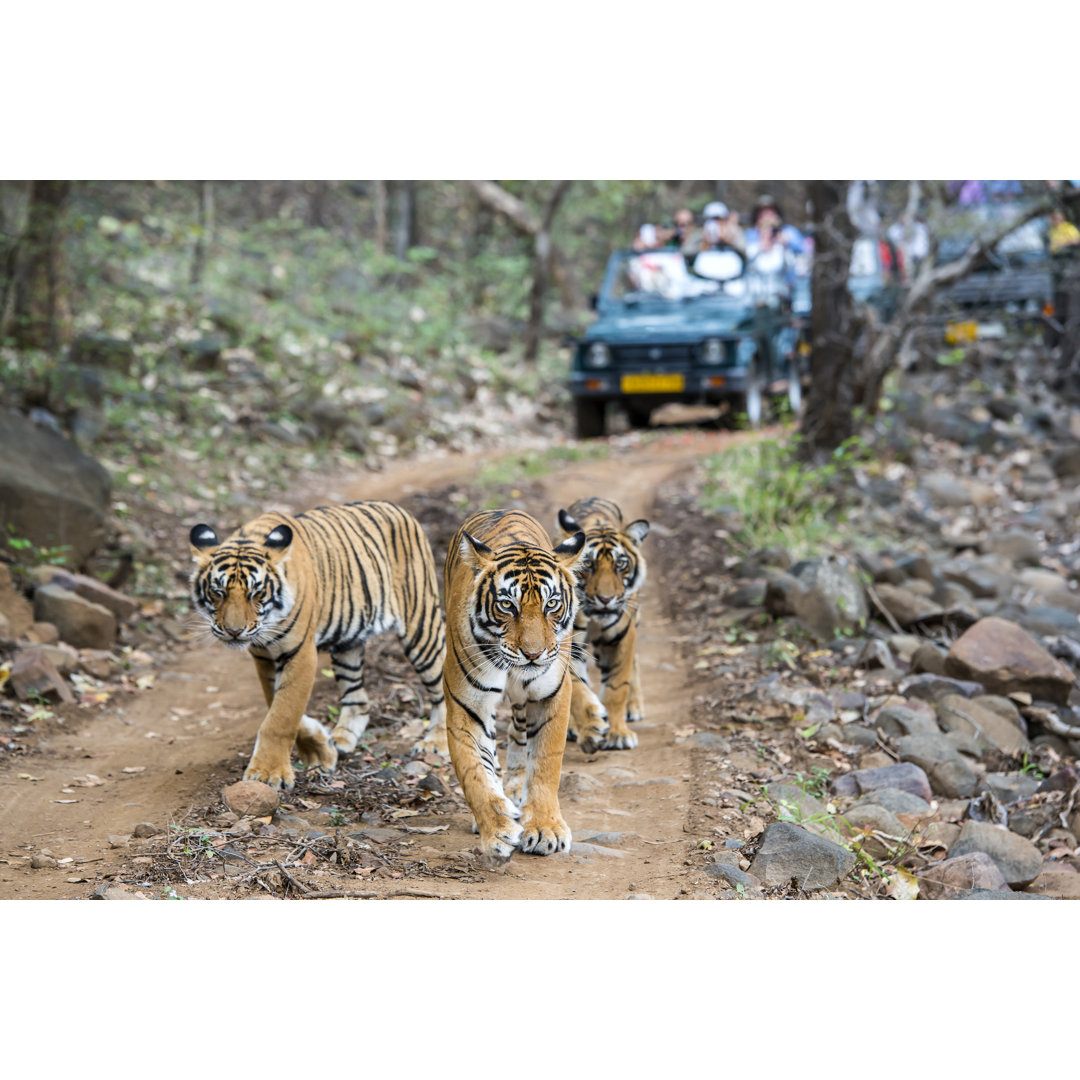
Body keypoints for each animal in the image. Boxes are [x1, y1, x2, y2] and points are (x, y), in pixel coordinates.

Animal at [190, 501, 447, 790]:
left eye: (256, 593)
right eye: (218, 592)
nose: (234, 632)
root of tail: (398, 509)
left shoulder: (300, 653)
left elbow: (282, 715)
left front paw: (268, 773)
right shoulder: (264, 657)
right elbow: (276, 703)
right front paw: (320, 749)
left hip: (421, 626)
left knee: (442, 686)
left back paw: (436, 743)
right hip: (348, 643)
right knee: (358, 698)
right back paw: (342, 740)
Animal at [442, 509, 587, 864]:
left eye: (552, 604)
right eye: (508, 605)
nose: (533, 654)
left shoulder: (552, 695)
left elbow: (546, 763)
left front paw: (546, 829)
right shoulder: (467, 707)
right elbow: (475, 773)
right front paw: (497, 830)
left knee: (520, 736)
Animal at [557, 494, 648, 751]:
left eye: (620, 564)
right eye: (588, 564)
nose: (606, 599)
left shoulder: (621, 637)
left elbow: (617, 687)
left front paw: (619, 734)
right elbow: (577, 688)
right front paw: (592, 728)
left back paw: (634, 706)